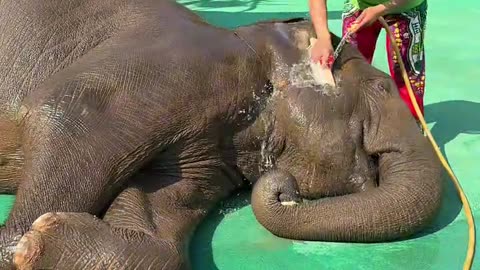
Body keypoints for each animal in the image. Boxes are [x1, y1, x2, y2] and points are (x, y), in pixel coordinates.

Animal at [0, 0, 442, 268]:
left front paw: (43, 238)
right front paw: (24, 243)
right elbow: (65, 109)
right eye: (382, 88)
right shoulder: (181, 65)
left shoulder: (210, 153)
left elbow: (157, 208)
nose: (287, 192)